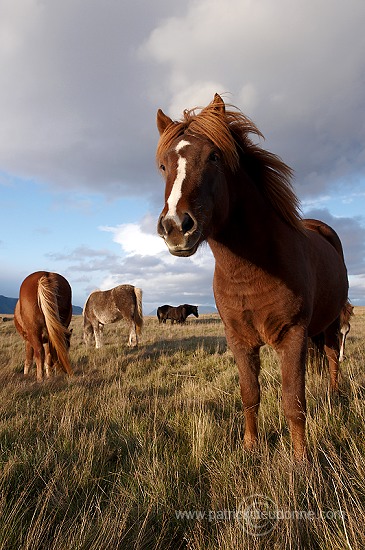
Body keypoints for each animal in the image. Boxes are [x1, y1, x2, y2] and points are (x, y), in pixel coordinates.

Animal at [155, 94, 348, 462]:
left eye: (214, 156)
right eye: (162, 165)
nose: (175, 227)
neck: (251, 271)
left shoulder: (293, 335)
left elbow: (293, 401)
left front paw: (301, 462)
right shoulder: (239, 340)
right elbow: (250, 394)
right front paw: (250, 448)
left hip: (331, 322)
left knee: (332, 357)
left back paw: (335, 397)